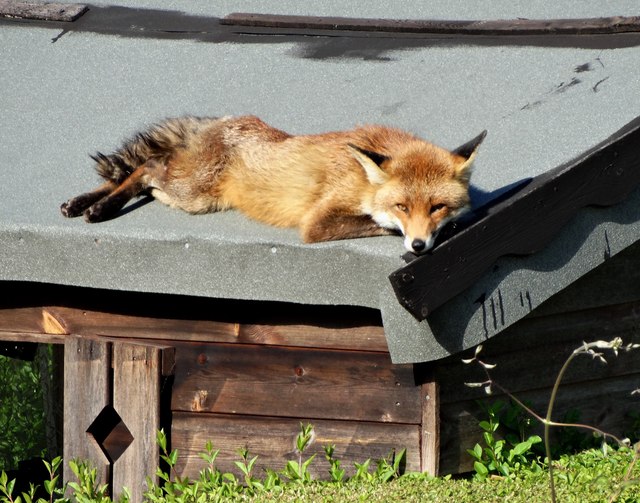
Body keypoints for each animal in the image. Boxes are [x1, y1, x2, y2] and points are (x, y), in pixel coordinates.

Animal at [62, 115, 488, 254]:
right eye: (402, 207)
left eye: (437, 207)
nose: (418, 246)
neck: (363, 180)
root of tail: (225, 119)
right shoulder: (317, 222)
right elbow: (377, 224)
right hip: (192, 195)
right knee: (147, 167)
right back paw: (100, 207)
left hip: (183, 195)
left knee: (138, 175)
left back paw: (83, 202)